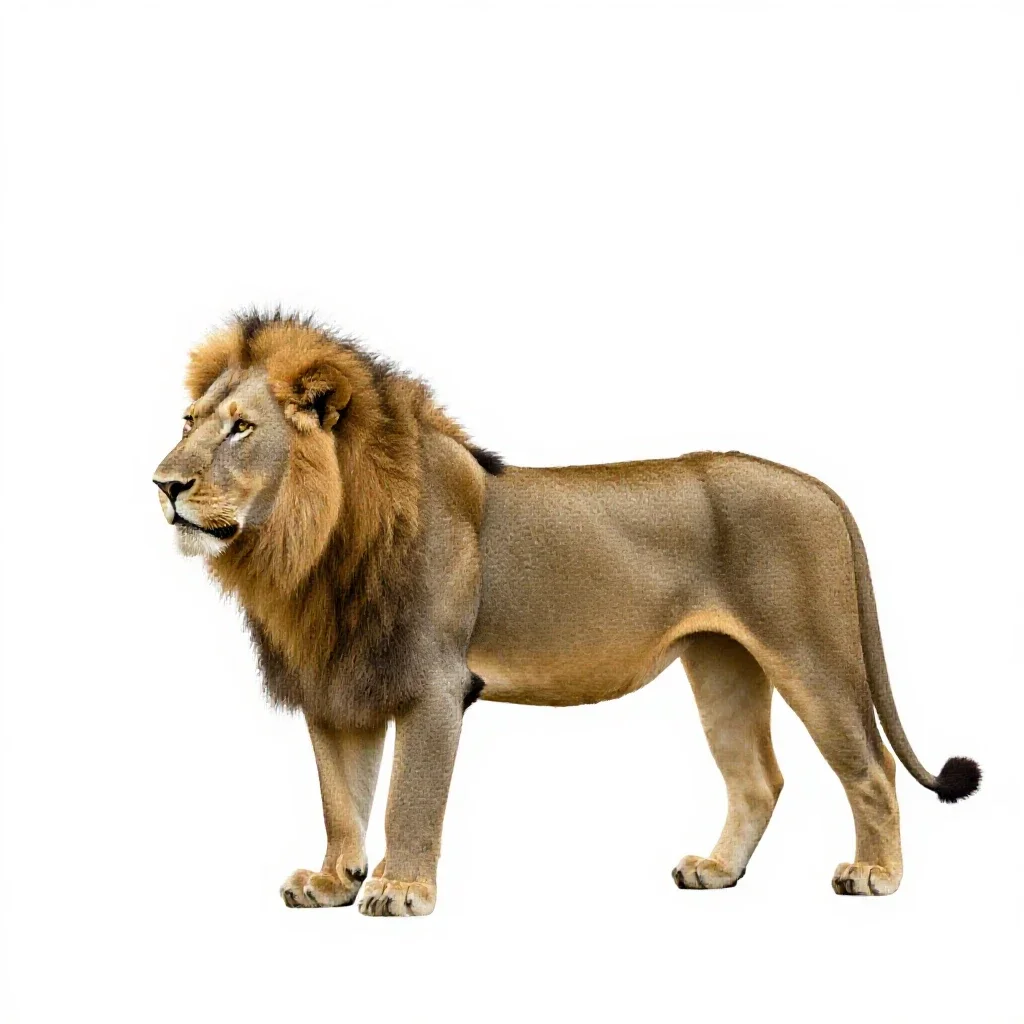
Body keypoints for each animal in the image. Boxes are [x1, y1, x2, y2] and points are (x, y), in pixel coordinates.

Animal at [153, 311, 980, 916]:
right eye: (189, 421)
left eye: (241, 427)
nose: (163, 484)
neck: (312, 549)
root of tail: (819, 486)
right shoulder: (336, 685)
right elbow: (340, 799)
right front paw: (333, 881)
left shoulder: (435, 686)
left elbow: (408, 800)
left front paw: (400, 888)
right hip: (724, 665)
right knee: (758, 779)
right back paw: (717, 871)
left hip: (810, 650)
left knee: (871, 768)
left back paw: (874, 876)